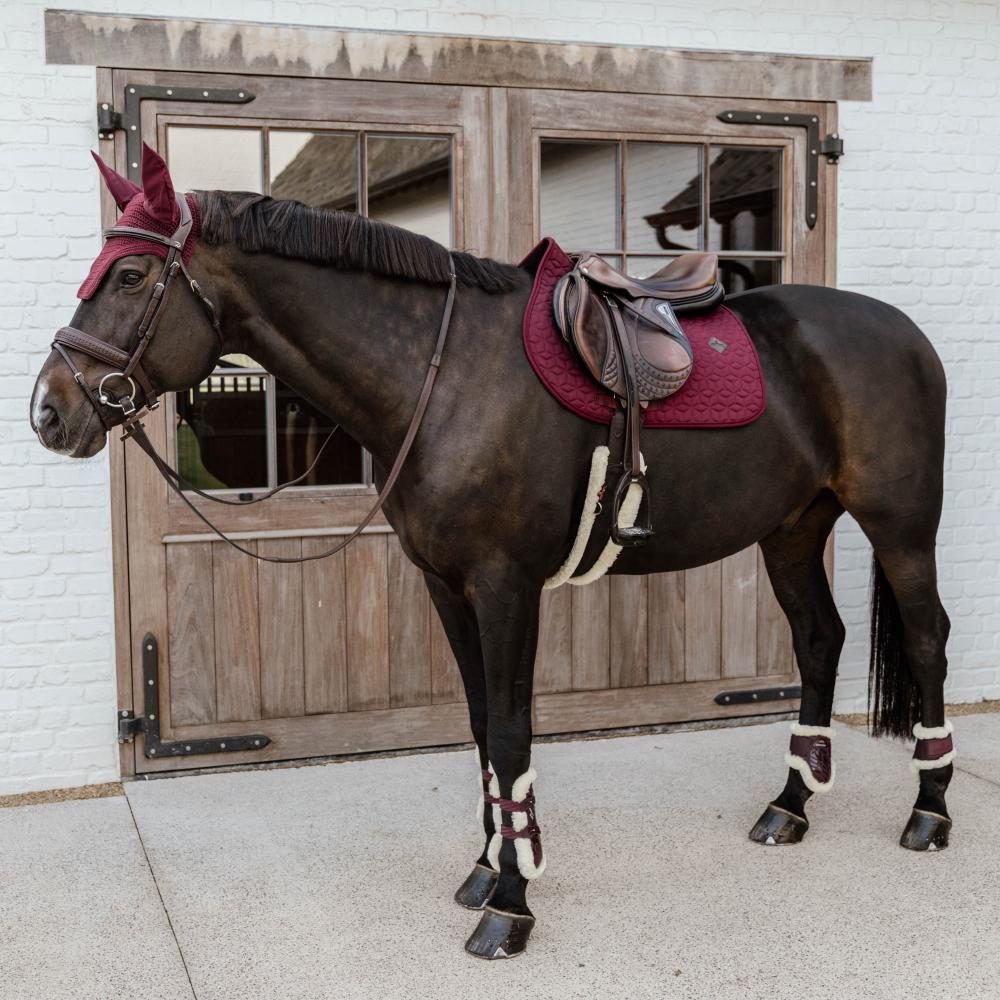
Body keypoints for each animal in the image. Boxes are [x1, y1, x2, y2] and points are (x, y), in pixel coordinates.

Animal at [29, 144, 952, 959]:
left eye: (129, 275)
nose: (49, 411)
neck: (441, 380)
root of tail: (907, 333)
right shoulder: (446, 585)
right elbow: (477, 726)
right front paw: (485, 869)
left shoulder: (507, 586)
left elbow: (510, 733)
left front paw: (511, 904)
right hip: (793, 527)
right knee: (820, 640)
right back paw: (790, 806)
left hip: (901, 528)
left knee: (929, 640)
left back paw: (930, 813)